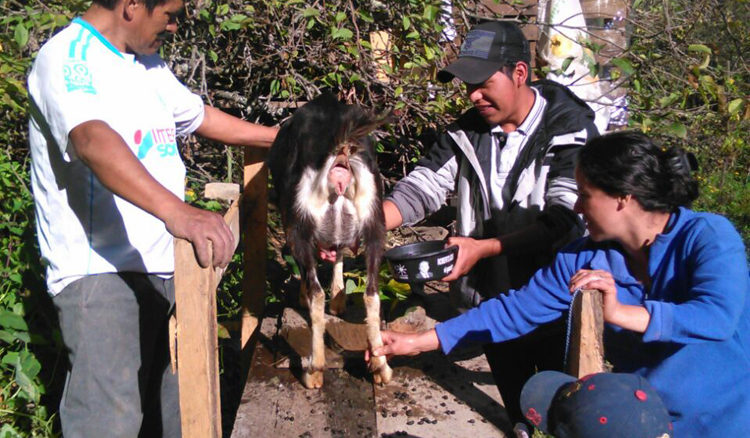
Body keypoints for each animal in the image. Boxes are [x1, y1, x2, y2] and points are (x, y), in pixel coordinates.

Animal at [268, 94, 394, 388]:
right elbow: (338, 250)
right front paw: (339, 299)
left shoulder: (292, 222)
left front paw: (308, 295)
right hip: (375, 222)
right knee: (372, 293)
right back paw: (381, 367)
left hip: (299, 222)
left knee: (317, 293)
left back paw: (314, 370)